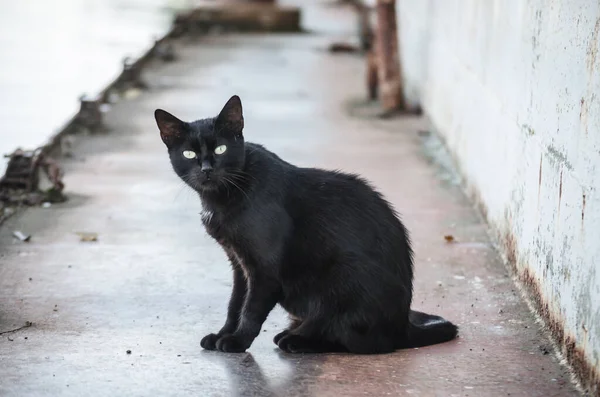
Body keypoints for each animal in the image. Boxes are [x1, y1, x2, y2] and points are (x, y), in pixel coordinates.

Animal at [155, 96, 460, 352]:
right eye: (189, 154)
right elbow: (235, 303)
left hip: (343, 277)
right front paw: (223, 334)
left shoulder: (264, 269)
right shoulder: (239, 264)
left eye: (221, 148)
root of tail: (403, 326)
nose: (206, 169)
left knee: (363, 341)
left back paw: (299, 340)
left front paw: (237, 341)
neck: (222, 197)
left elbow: (251, 309)